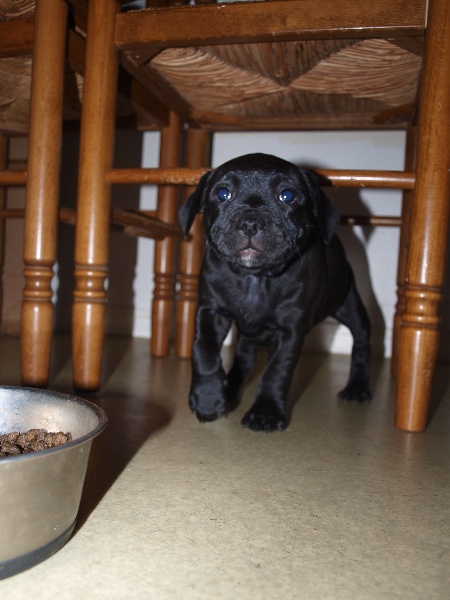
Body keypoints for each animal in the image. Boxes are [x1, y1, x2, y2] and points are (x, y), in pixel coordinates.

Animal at [179, 153, 371, 432]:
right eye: (223, 193)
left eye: (287, 196)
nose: (250, 222)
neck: (255, 278)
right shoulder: (211, 311)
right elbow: (204, 351)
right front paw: (208, 399)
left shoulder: (290, 330)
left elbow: (276, 371)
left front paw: (265, 413)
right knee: (244, 358)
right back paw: (230, 388)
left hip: (348, 303)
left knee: (362, 339)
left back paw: (357, 387)